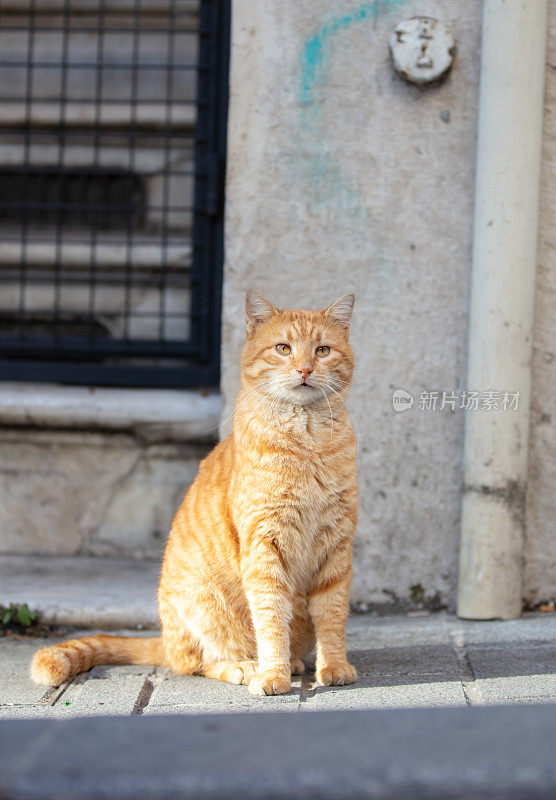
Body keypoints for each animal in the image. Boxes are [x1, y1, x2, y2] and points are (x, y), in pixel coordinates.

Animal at [32, 290, 358, 696]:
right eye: (283, 348)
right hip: (202, 606)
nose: (304, 370)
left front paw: (334, 666)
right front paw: (272, 674)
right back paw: (247, 667)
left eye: (323, 350)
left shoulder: (336, 544)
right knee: (198, 663)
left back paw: (294, 663)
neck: (307, 441)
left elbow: (332, 615)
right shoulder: (264, 546)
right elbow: (270, 618)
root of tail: (164, 639)